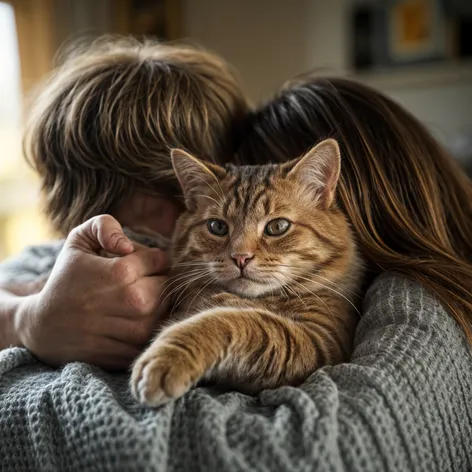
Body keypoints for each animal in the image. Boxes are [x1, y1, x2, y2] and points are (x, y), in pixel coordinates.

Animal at [131, 138, 364, 408]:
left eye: (278, 226)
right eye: (217, 227)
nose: (240, 257)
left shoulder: (322, 339)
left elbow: (236, 321)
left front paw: (167, 358)